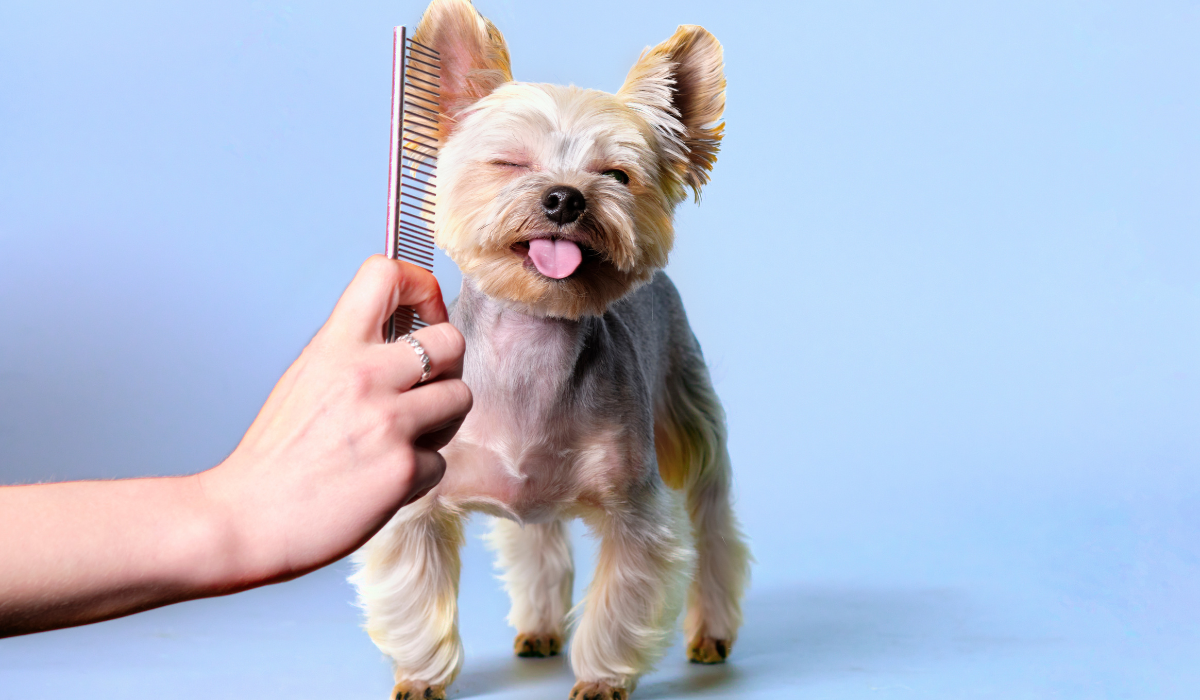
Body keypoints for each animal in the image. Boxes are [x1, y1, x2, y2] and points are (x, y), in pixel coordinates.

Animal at [348, 2, 753, 696]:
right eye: (511, 164)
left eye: (616, 174)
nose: (565, 196)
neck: (532, 344)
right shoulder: (419, 504)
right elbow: (417, 591)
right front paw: (421, 676)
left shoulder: (635, 508)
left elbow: (622, 598)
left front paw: (602, 679)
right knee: (538, 544)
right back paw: (538, 627)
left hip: (688, 409)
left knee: (714, 527)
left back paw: (712, 634)